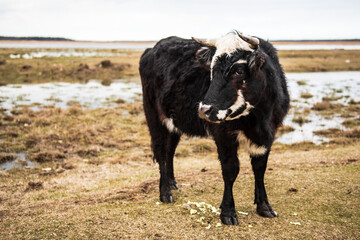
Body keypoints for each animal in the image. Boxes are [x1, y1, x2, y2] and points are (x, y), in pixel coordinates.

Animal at [138, 30, 290, 225]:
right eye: (212, 71)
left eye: (238, 70)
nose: (204, 110)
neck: (259, 119)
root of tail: (151, 49)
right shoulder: (224, 135)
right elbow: (231, 169)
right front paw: (228, 212)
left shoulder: (268, 136)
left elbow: (260, 168)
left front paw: (264, 205)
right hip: (154, 117)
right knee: (159, 151)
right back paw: (165, 192)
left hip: (174, 123)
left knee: (169, 151)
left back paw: (172, 183)